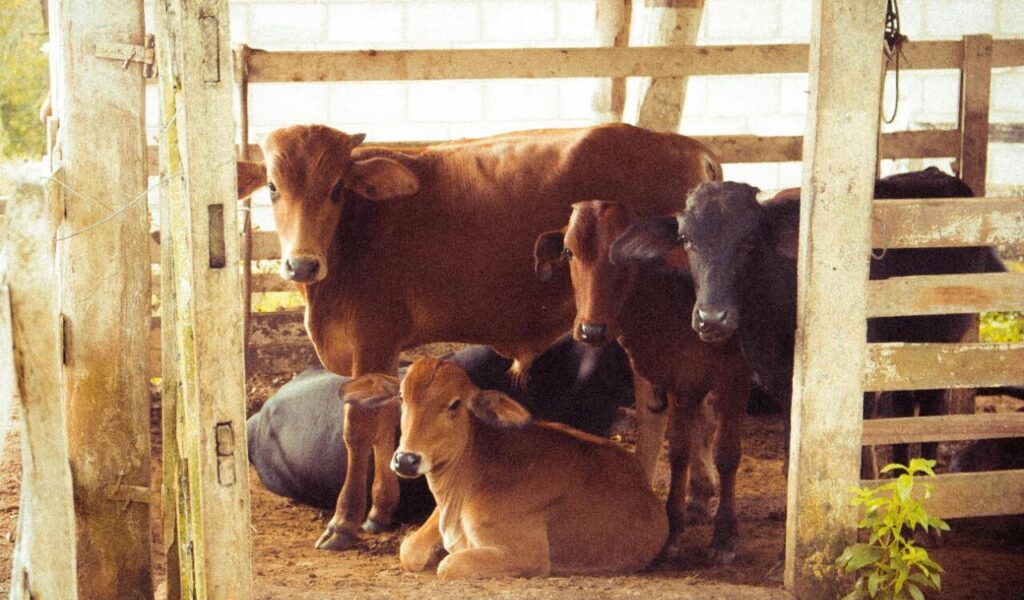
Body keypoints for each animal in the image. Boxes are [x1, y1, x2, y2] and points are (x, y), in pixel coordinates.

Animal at [342, 358, 669, 580]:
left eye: (455, 404)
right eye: (401, 397)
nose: (406, 459)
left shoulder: (528, 553)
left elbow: (450, 565)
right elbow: (409, 550)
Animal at [533, 201, 751, 565]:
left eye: (623, 255)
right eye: (568, 251)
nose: (592, 330)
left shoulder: (734, 377)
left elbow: (726, 453)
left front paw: (723, 537)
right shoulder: (681, 381)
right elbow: (679, 452)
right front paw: (672, 531)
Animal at [609, 168, 1008, 474]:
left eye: (749, 240)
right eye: (687, 240)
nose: (711, 318)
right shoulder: (782, 385)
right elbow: (791, 457)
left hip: (940, 346)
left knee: (929, 410)